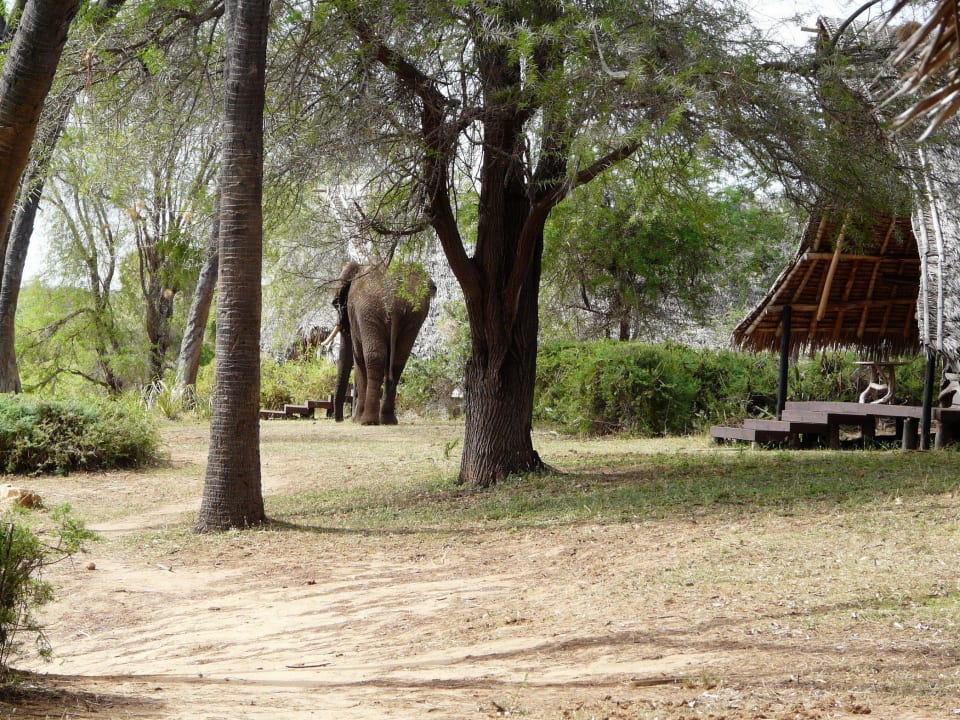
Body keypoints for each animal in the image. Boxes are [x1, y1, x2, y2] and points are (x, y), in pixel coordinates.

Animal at [330, 261, 435, 424]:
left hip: (369, 312)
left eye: (336, 304)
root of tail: (396, 301)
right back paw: (388, 420)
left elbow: (358, 357)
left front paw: (356, 420)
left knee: (374, 358)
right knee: (398, 362)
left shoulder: (357, 316)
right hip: (414, 315)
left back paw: (368, 421)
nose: (340, 419)